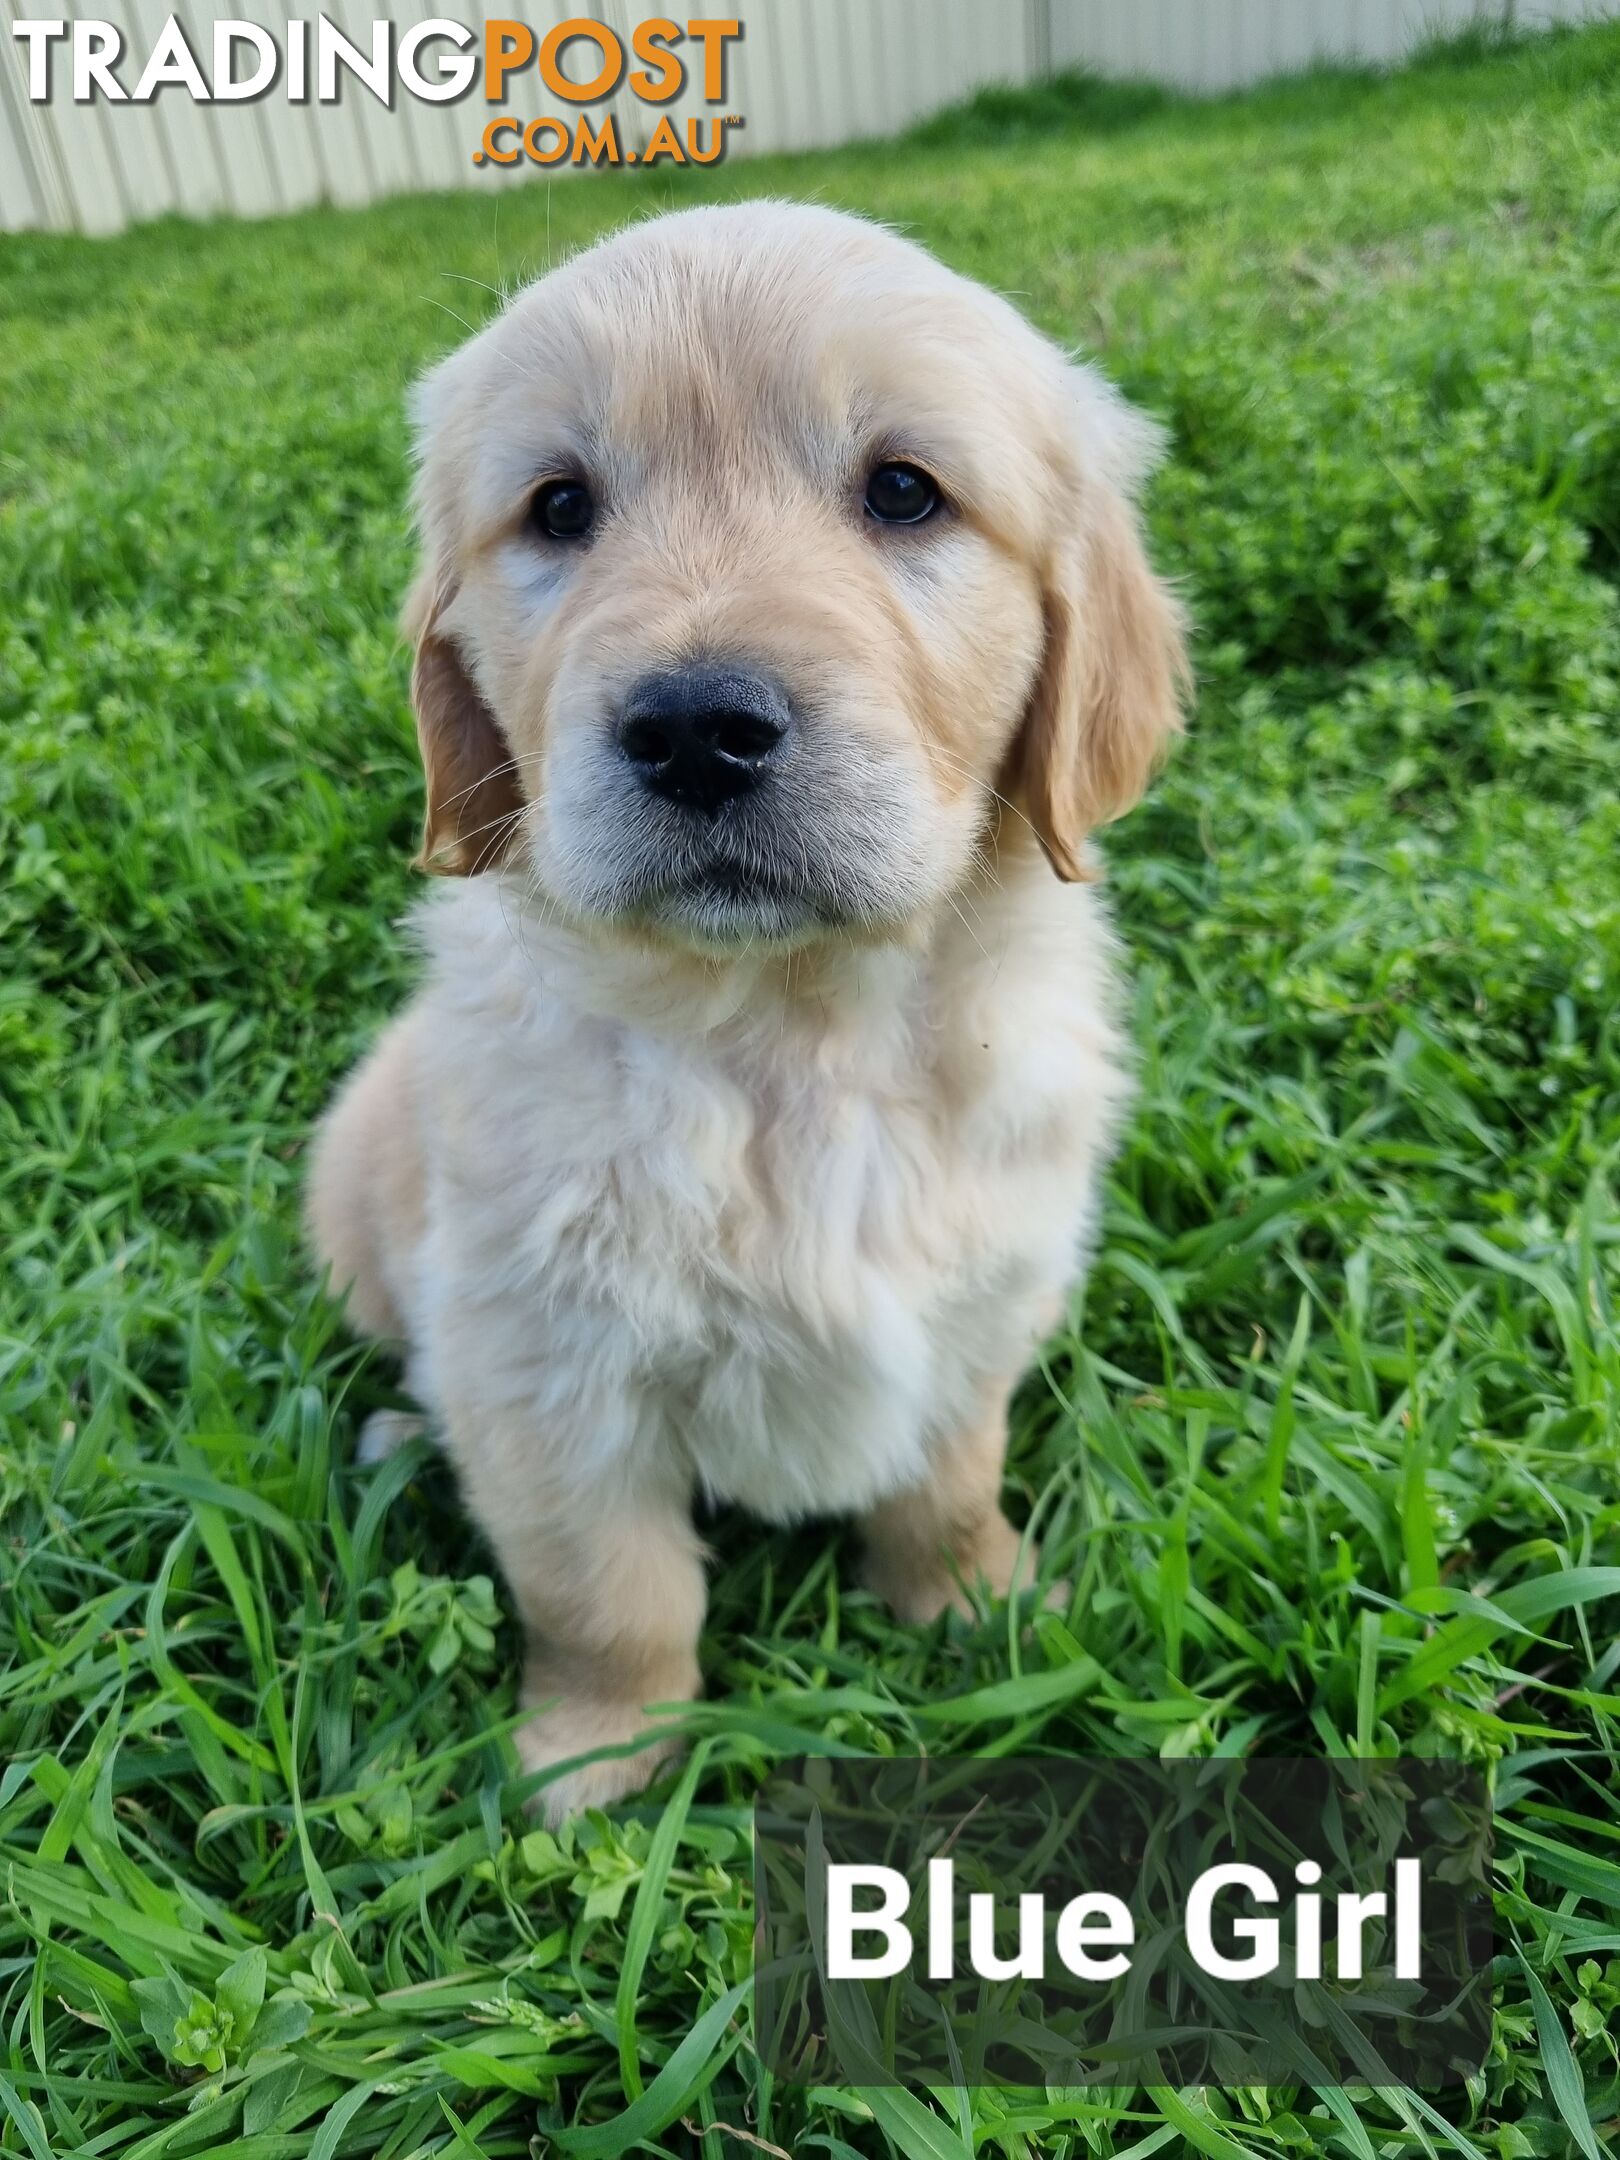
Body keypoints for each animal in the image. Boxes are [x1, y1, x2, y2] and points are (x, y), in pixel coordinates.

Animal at [306, 203, 1192, 1823]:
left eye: (904, 491)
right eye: (560, 508)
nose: (695, 729)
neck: (798, 1038)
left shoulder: (982, 1303)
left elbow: (949, 1482)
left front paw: (980, 1610)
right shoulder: (547, 1373)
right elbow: (611, 1589)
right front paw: (595, 1766)